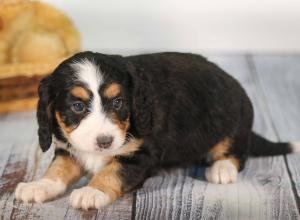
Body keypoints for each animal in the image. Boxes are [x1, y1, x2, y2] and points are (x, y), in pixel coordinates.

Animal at [14, 51, 300, 210]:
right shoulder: (69, 149)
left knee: (236, 151)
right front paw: (38, 186)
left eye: (118, 102)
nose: (105, 141)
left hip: (231, 119)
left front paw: (92, 192)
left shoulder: (139, 155)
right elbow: (57, 170)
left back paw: (221, 168)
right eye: (77, 106)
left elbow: (111, 172)